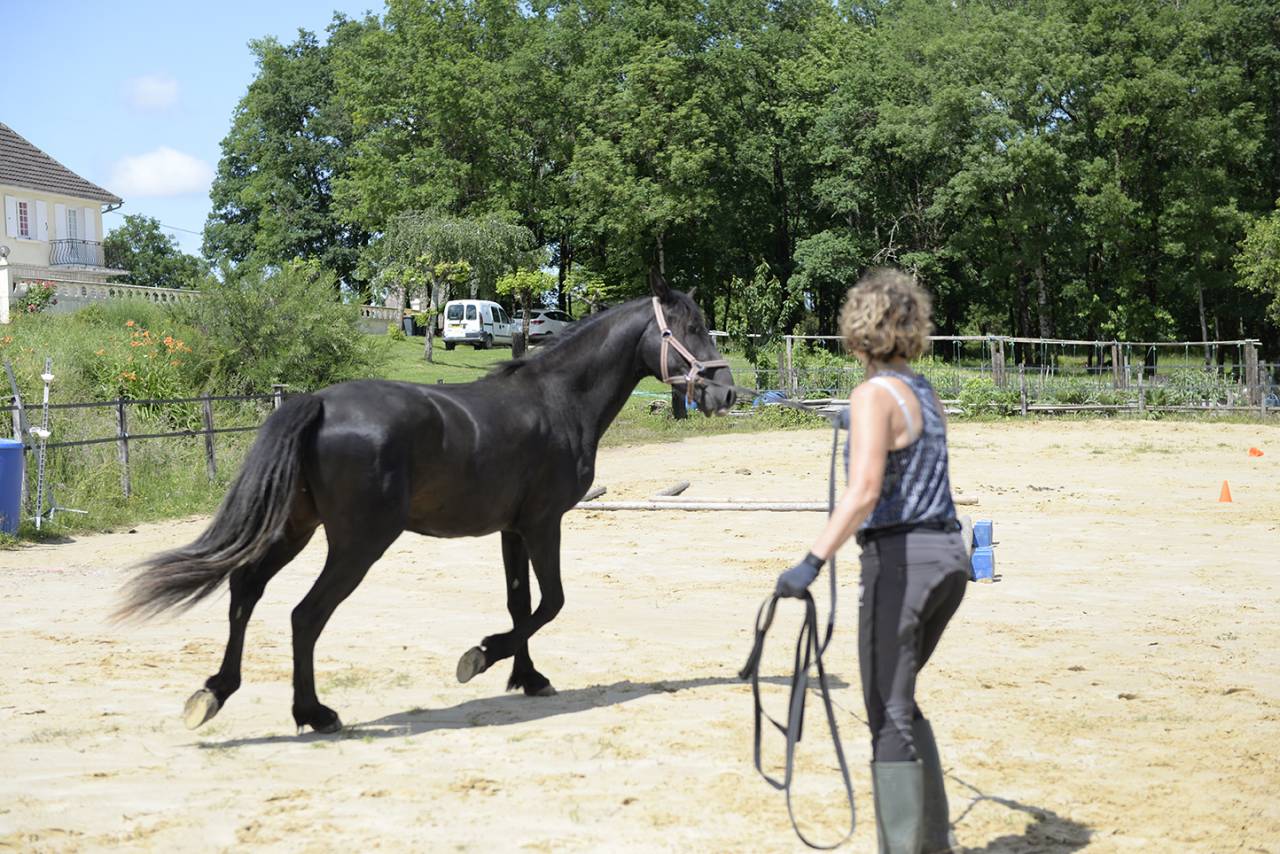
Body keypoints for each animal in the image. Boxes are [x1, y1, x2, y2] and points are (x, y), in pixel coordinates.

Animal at [117, 274, 736, 734]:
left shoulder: (512, 530)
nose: (725, 390)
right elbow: (552, 602)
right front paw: (480, 657)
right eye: (691, 328)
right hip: (358, 543)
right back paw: (314, 714)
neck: (558, 400)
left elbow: (521, 605)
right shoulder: (543, 524)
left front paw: (527, 677)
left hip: (296, 527)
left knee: (245, 589)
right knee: (305, 614)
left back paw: (214, 694)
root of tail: (319, 404)